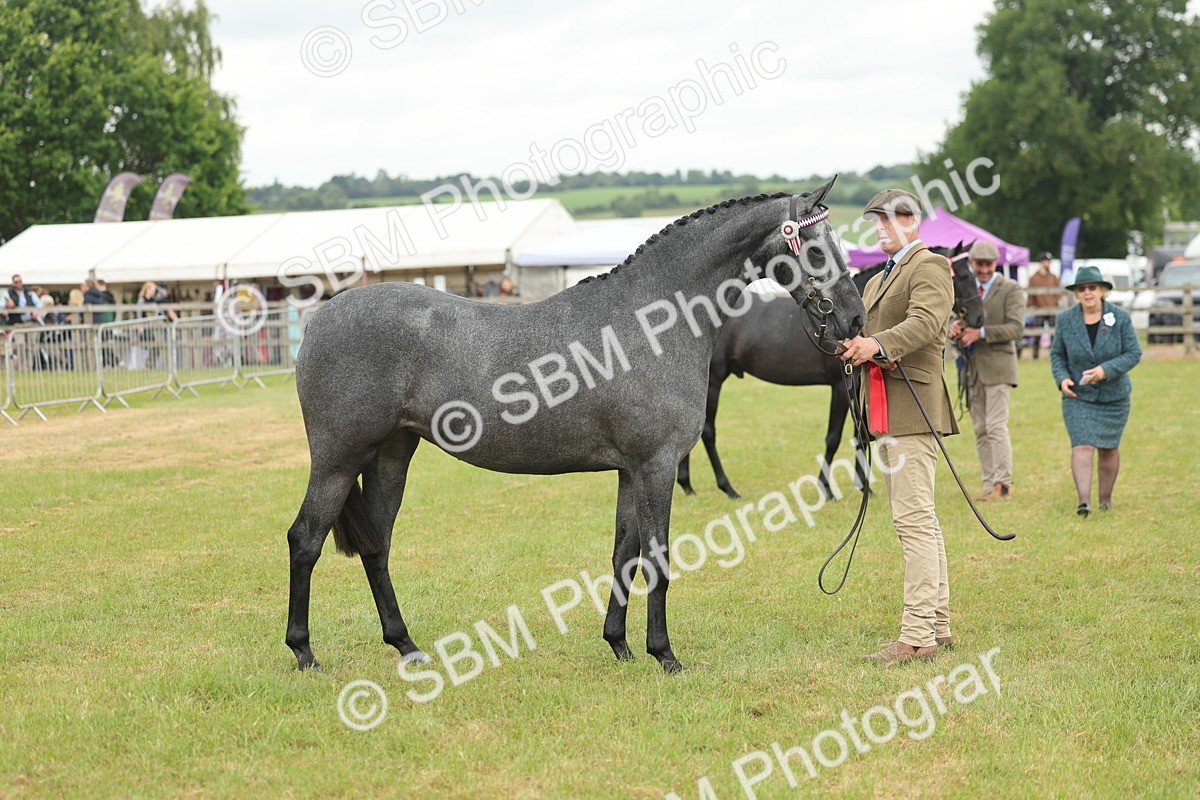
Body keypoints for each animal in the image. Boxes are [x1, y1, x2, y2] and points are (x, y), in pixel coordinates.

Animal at [285, 180, 866, 674]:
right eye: (817, 249)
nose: (855, 320)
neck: (649, 323)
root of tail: (319, 319)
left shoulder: (631, 471)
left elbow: (624, 554)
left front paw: (620, 645)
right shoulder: (656, 466)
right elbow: (658, 559)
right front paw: (665, 655)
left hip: (391, 454)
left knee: (377, 546)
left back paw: (406, 645)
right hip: (338, 460)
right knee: (305, 539)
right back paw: (304, 652)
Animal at [676, 242, 982, 500]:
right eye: (961, 276)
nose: (979, 318)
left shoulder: (858, 386)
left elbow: (860, 434)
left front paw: (863, 486)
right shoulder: (839, 386)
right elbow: (834, 437)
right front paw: (827, 488)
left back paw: (687, 484)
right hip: (715, 381)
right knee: (707, 431)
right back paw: (725, 487)